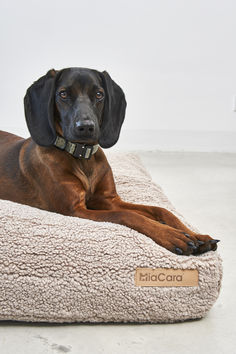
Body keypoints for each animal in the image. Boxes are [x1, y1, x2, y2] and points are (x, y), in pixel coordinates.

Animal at [0, 67, 219, 254]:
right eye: (63, 94)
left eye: (99, 94)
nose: (86, 127)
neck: (82, 157)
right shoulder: (75, 209)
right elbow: (128, 215)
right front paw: (171, 235)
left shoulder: (109, 200)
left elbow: (161, 210)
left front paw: (194, 234)